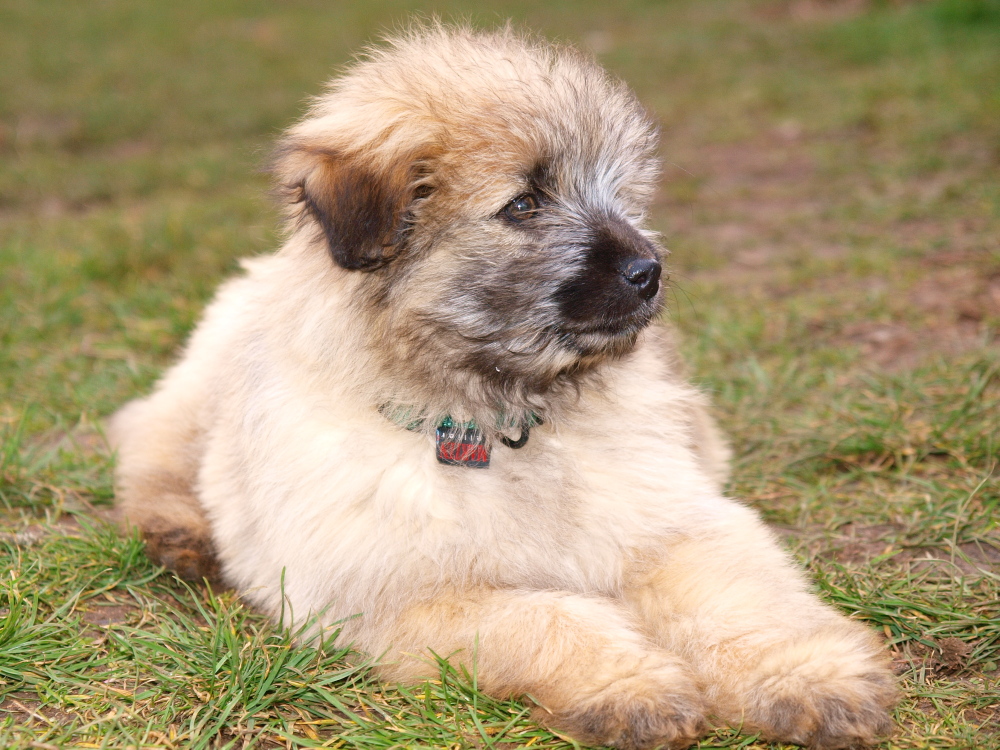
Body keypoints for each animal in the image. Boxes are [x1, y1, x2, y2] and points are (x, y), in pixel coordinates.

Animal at [111, 26, 900, 750]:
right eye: (523, 204)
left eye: (619, 192)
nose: (650, 271)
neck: (496, 420)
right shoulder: (406, 597)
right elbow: (548, 619)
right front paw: (631, 687)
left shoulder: (677, 526)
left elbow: (745, 604)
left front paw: (808, 678)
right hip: (198, 397)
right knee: (147, 440)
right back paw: (179, 531)